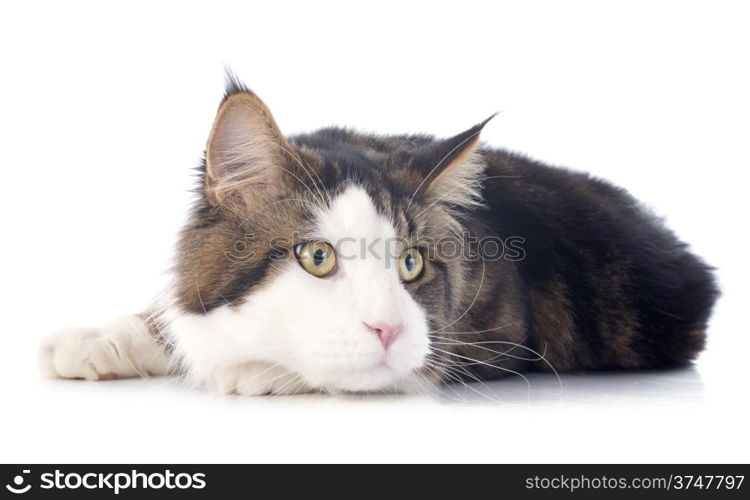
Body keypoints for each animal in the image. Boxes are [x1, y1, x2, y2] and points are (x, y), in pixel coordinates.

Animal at [38, 74, 720, 394]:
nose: (388, 327)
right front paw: (99, 339)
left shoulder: (494, 331)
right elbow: (170, 315)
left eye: (412, 265)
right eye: (316, 257)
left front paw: (259, 370)